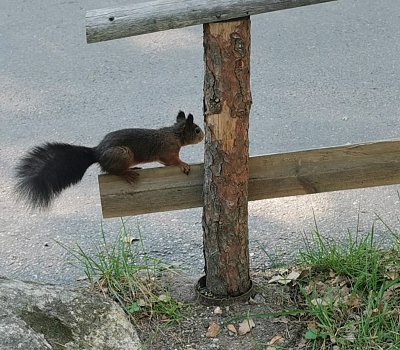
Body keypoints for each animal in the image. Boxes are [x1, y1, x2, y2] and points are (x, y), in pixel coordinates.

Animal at [14, 110, 203, 209]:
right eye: (196, 130)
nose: (202, 136)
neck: (175, 133)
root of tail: (96, 153)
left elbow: (164, 163)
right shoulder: (167, 150)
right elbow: (172, 160)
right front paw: (183, 165)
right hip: (122, 154)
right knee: (111, 171)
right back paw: (127, 173)